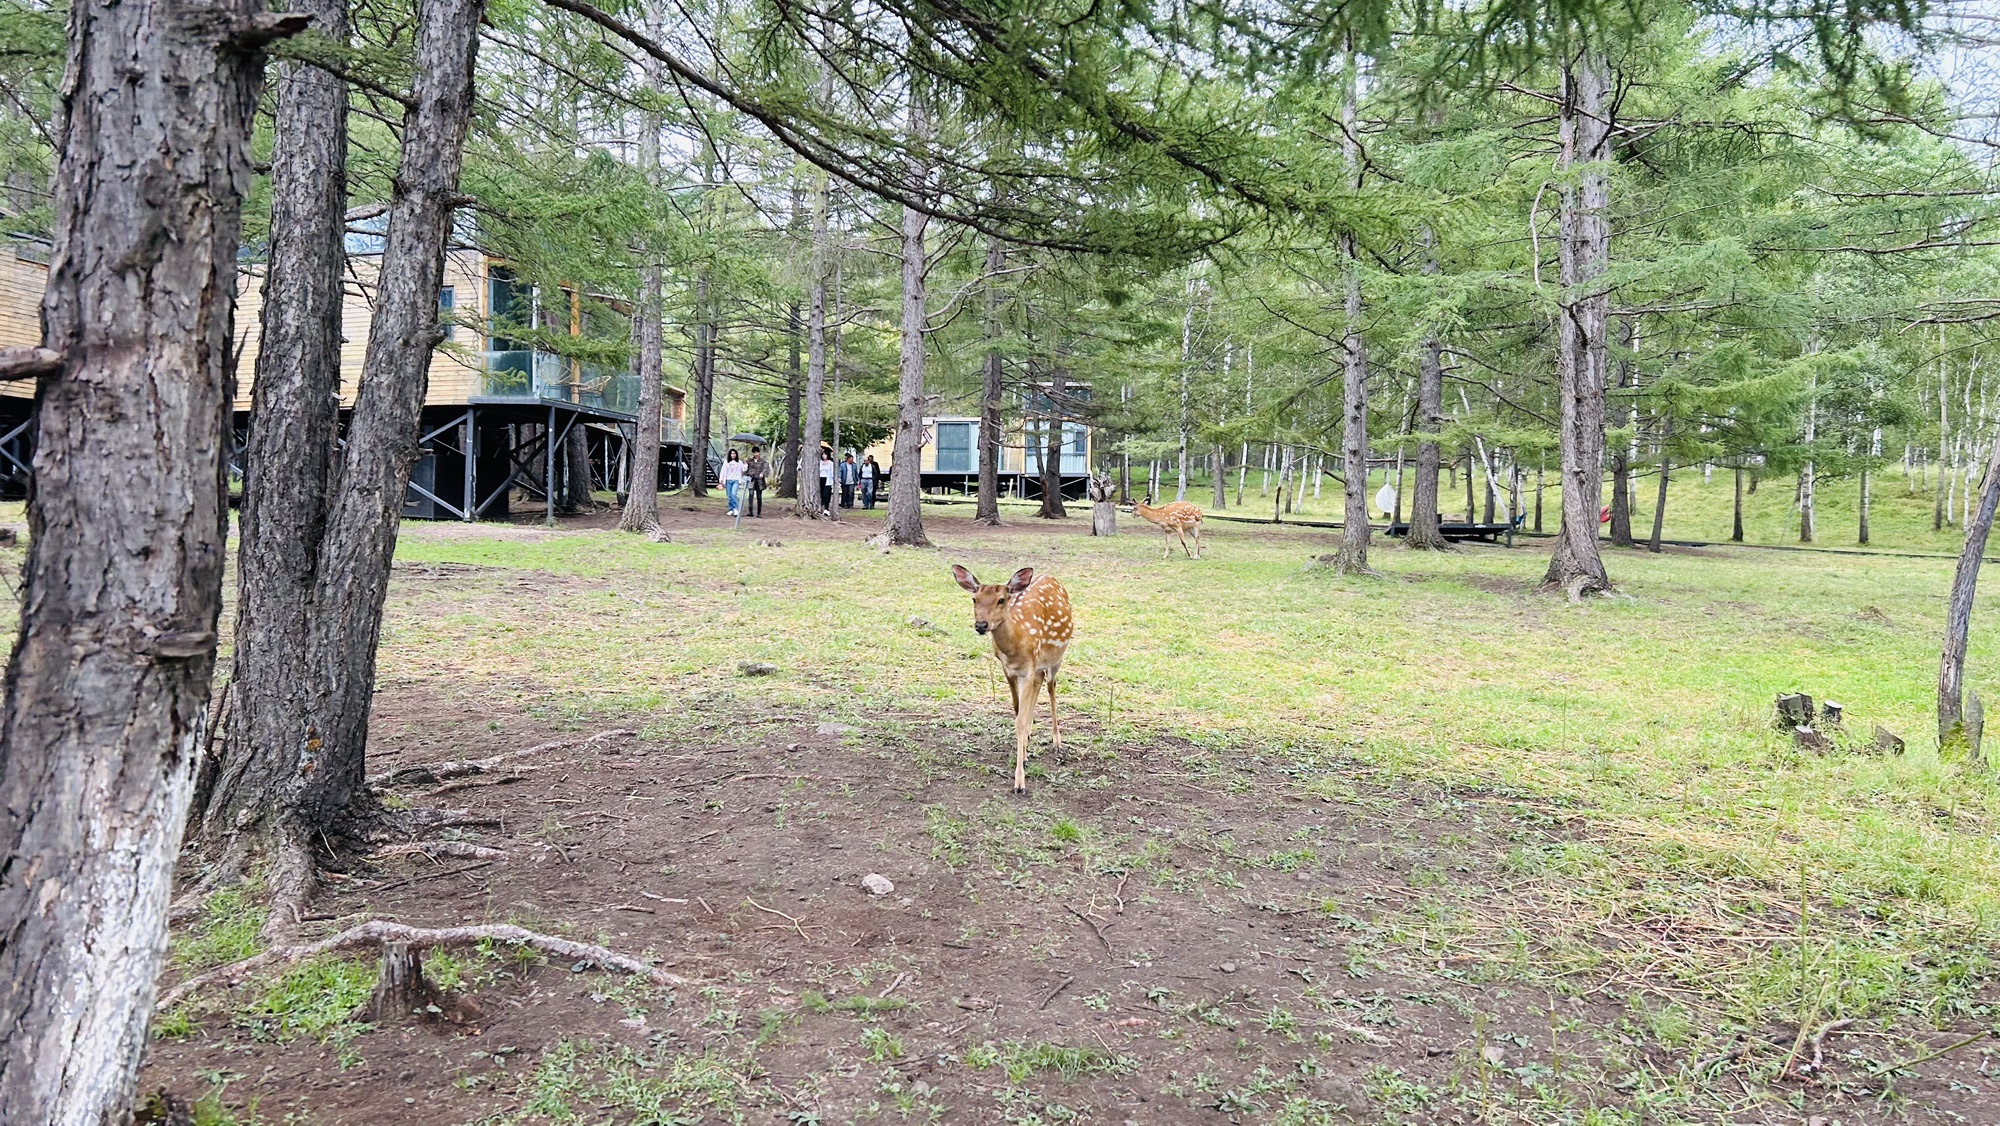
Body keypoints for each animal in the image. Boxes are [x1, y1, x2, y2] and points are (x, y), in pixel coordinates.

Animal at [952, 564, 1074, 794]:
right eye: (974, 599)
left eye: (1001, 599)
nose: (981, 625)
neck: (1015, 646)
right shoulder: (1009, 670)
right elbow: (1019, 713)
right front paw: (1024, 753)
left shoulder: (1028, 670)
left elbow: (1020, 721)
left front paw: (1019, 783)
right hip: (1038, 668)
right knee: (1040, 686)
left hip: (1056, 658)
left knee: (1051, 687)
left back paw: (1057, 742)